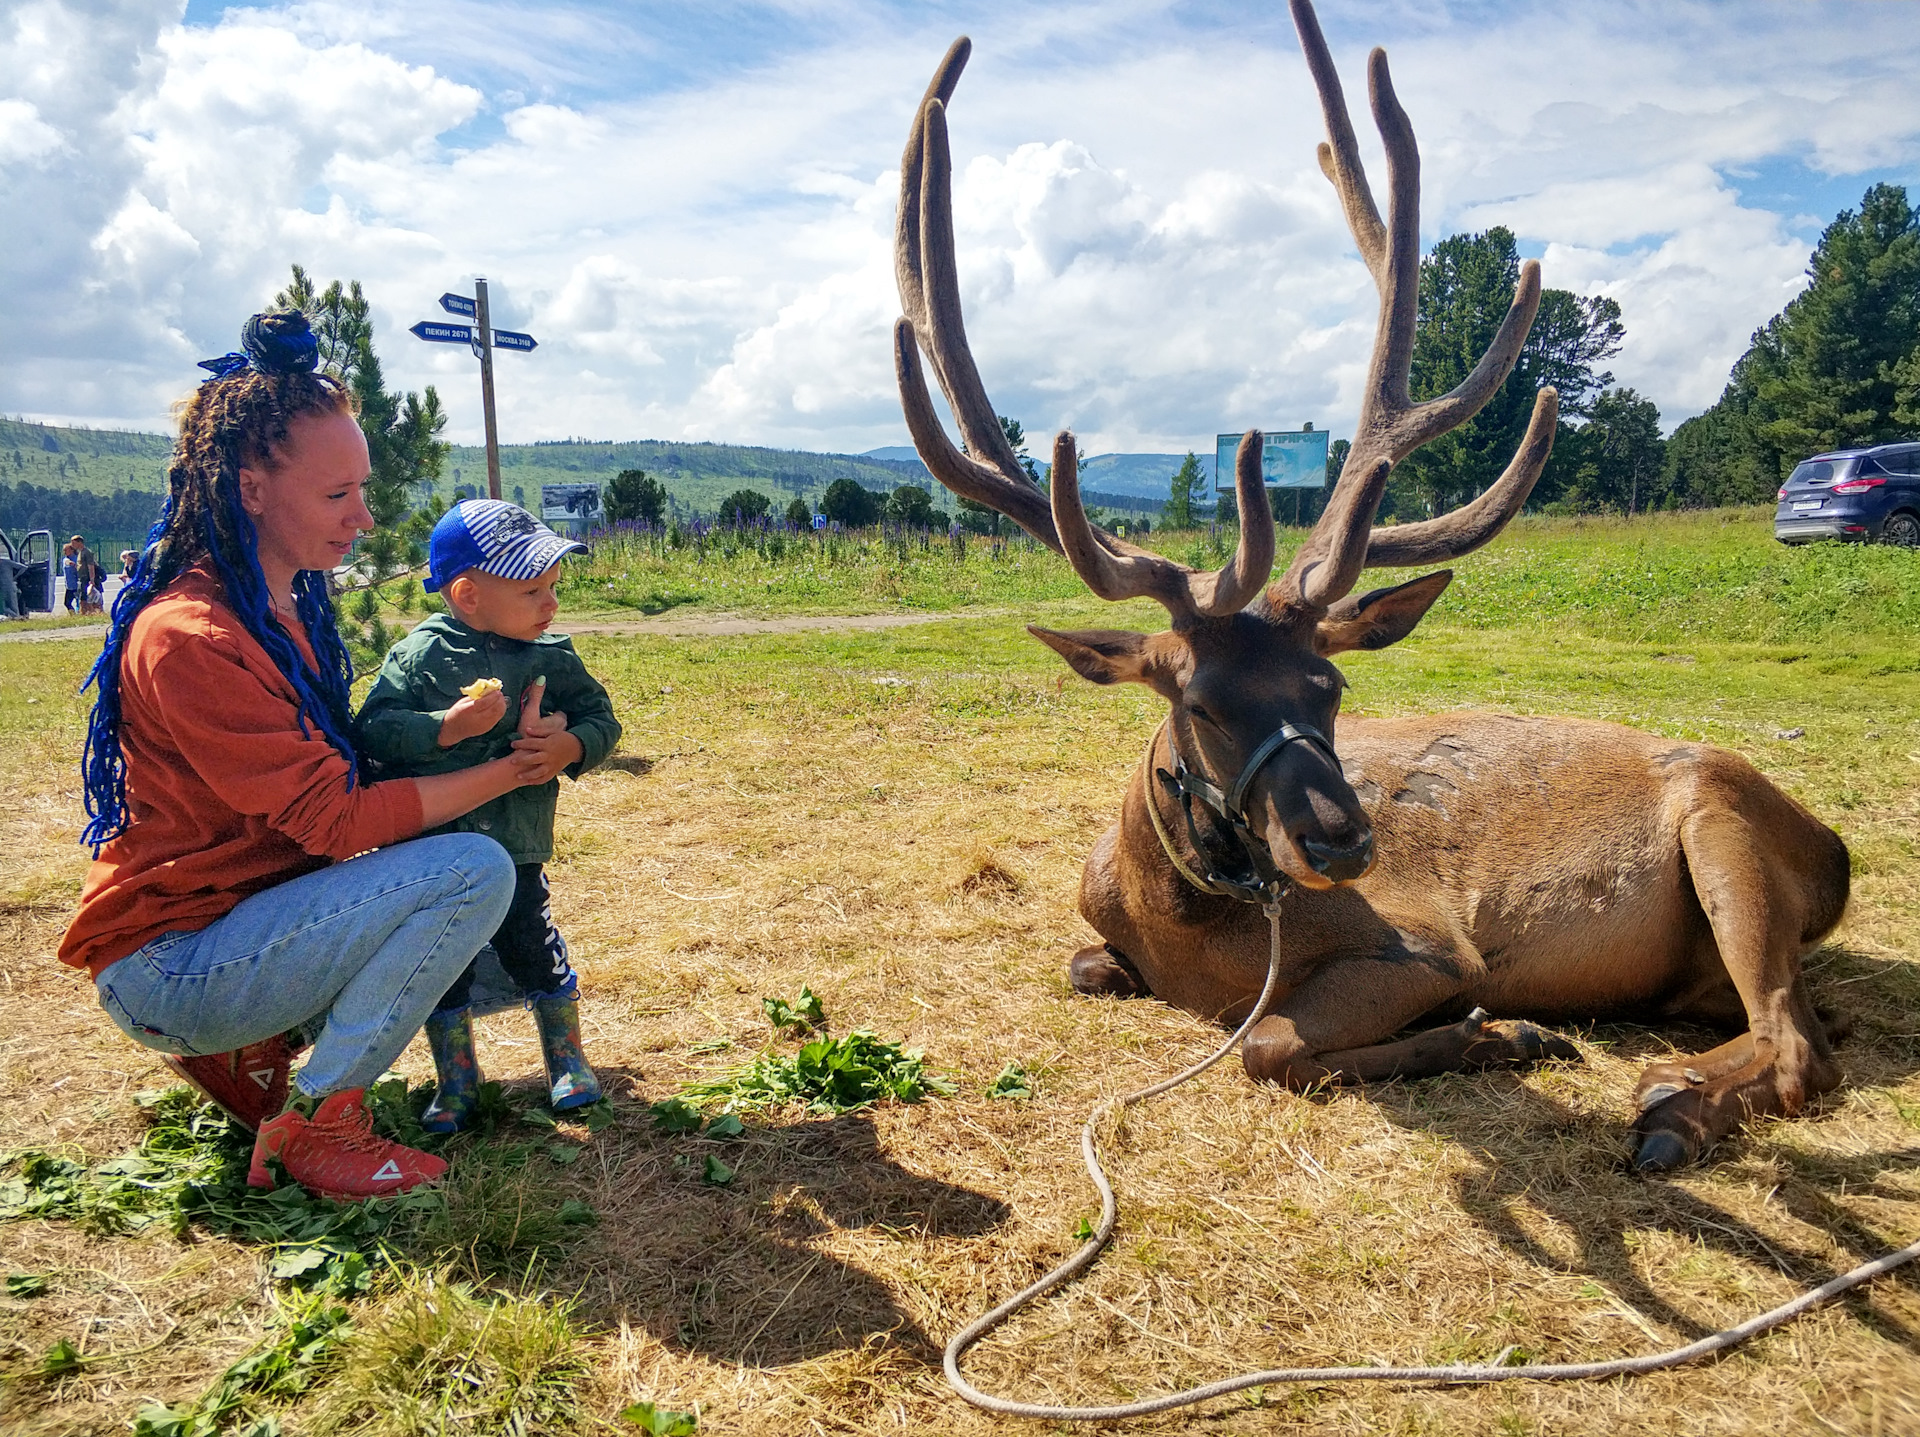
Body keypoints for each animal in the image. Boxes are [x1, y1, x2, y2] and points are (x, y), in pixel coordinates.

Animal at [890, 0, 1850, 1168]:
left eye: (1333, 688)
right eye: (1201, 703)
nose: (1345, 838)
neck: (1189, 939)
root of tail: (1839, 851)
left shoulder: (1428, 944)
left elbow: (1270, 1045)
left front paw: (1500, 1031)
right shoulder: (1110, 939)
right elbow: (1086, 967)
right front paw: (1500, 1035)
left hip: (1724, 825)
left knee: (1799, 1044)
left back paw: (1669, 1104)